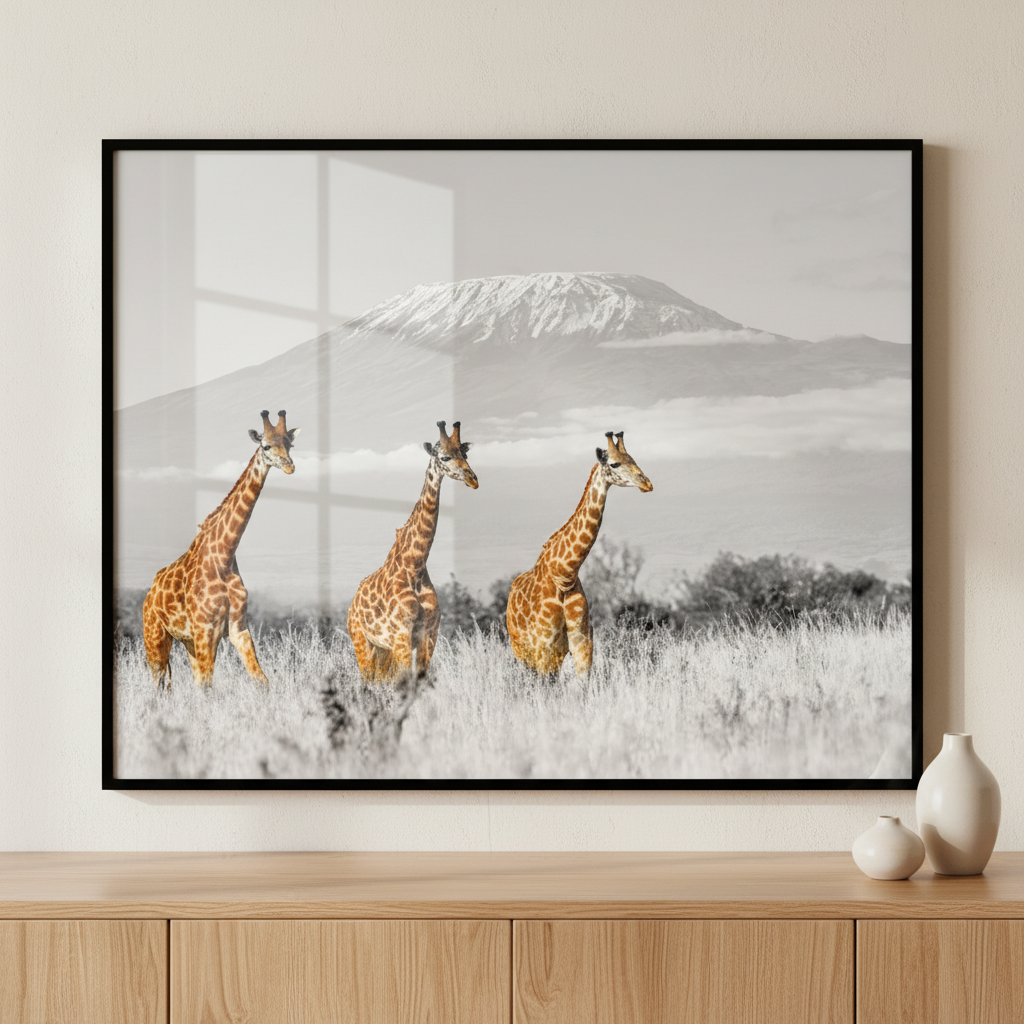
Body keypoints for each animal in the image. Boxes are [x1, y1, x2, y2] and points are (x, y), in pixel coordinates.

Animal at [141, 410, 300, 689]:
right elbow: (208, 685)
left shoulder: (238, 628)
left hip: (188, 642)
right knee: (159, 684)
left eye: (290, 444)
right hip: (155, 636)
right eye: (266, 446)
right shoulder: (206, 630)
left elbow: (261, 680)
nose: (289, 466)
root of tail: (149, 595)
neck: (224, 555)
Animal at [347, 420, 478, 684]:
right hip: (362, 641)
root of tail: (352, 604)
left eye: (465, 454)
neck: (414, 565)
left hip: (383, 650)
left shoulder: (429, 634)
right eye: (445, 456)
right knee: (366, 680)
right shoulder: (401, 637)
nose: (473, 479)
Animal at [506, 431, 652, 678]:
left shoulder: (582, 643)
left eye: (633, 459)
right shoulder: (543, 647)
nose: (647, 483)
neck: (565, 573)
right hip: (525, 654)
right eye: (615, 463)